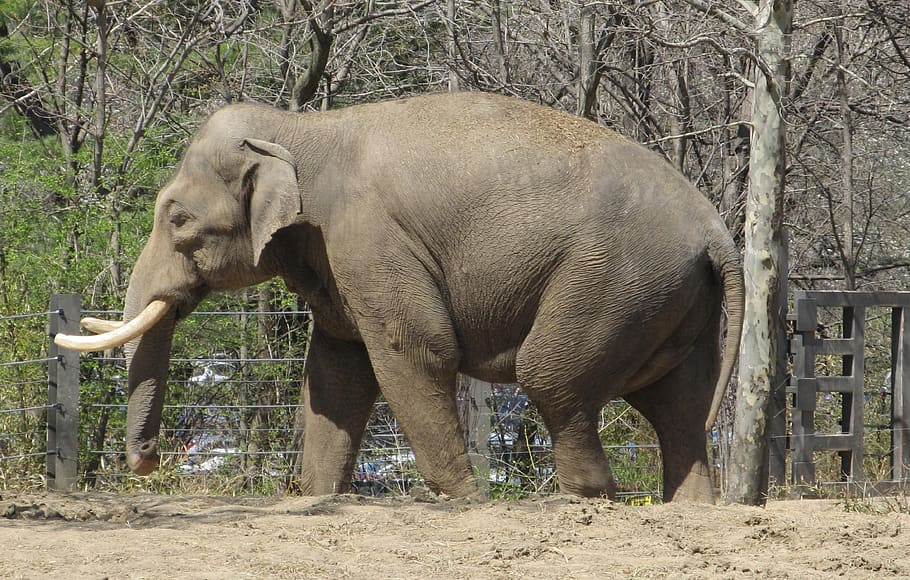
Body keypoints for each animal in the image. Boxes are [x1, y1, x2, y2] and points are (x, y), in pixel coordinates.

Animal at [56, 91, 743, 502]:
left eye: (176, 220)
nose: (147, 463)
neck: (299, 129)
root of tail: (716, 230)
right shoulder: (337, 260)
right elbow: (334, 373)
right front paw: (319, 498)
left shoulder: (368, 239)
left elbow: (413, 351)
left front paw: (464, 501)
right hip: (671, 296)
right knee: (678, 405)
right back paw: (689, 506)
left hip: (614, 278)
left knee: (552, 375)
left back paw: (581, 498)